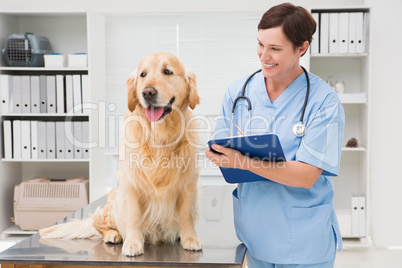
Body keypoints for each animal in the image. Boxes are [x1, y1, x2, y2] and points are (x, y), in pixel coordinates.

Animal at [39, 50, 203, 258]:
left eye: (167, 71)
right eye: (143, 74)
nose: (147, 92)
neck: (160, 137)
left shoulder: (188, 183)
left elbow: (186, 215)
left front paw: (190, 238)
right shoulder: (131, 183)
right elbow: (133, 216)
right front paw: (133, 243)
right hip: (114, 202)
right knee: (98, 223)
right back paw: (112, 234)